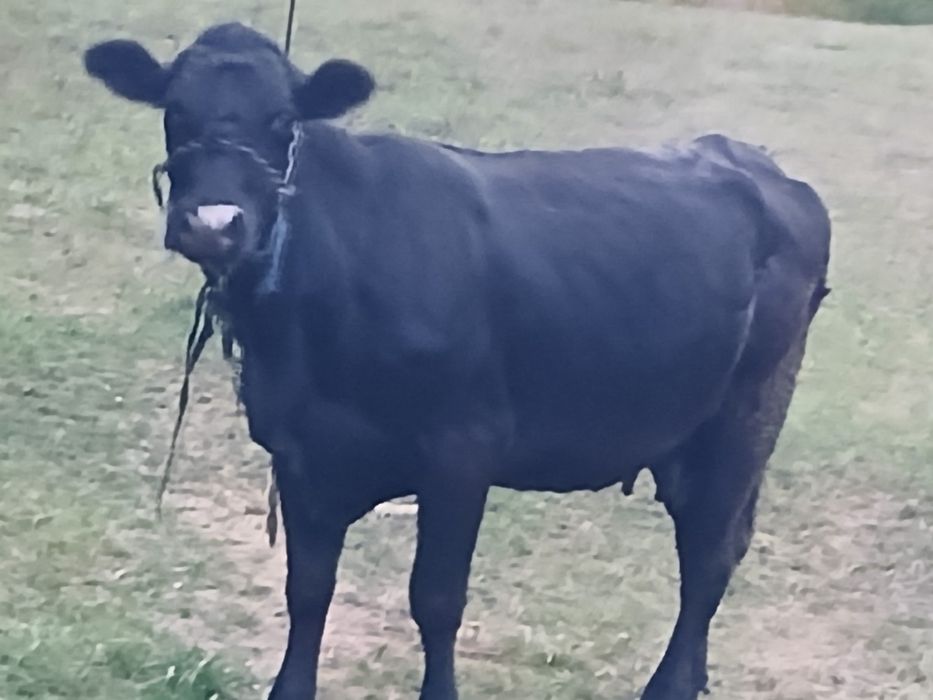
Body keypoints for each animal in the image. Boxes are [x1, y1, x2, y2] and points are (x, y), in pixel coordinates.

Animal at [84, 22, 831, 700]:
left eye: (282, 120)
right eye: (175, 112)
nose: (214, 224)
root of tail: (751, 161)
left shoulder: (462, 449)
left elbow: (436, 600)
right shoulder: (300, 450)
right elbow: (308, 588)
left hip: (745, 417)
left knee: (707, 557)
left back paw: (669, 686)